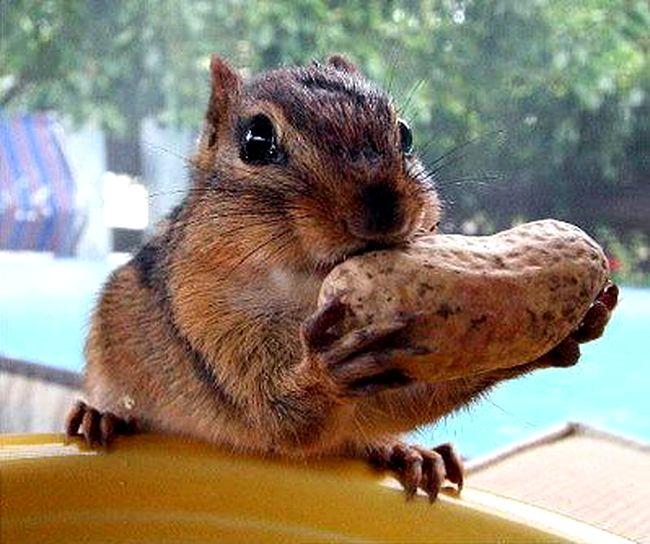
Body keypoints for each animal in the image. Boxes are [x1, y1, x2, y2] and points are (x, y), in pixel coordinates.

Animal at [66, 54, 618, 501]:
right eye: (256, 140)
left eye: (406, 134)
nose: (383, 207)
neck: (306, 291)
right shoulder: (205, 319)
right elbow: (275, 415)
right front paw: (325, 369)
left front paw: (572, 328)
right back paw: (101, 416)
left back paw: (408, 454)